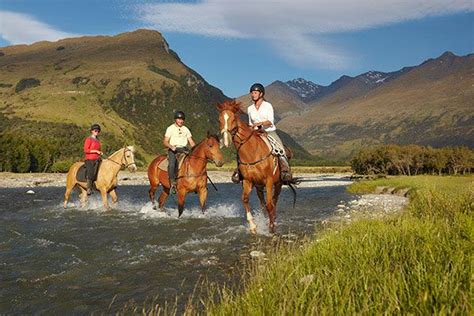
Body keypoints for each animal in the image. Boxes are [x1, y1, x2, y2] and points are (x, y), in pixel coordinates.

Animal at [218, 100, 296, 233]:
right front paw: (253, 226)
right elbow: (245, 199)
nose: (226, 141)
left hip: (278, 184)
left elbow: (270, 204)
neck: (252, 152)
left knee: (274, 201)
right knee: (263, 204)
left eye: (233, 119)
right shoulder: (248, 181)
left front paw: (271, 227)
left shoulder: (269, 181)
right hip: (259, 187)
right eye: (219, 120)